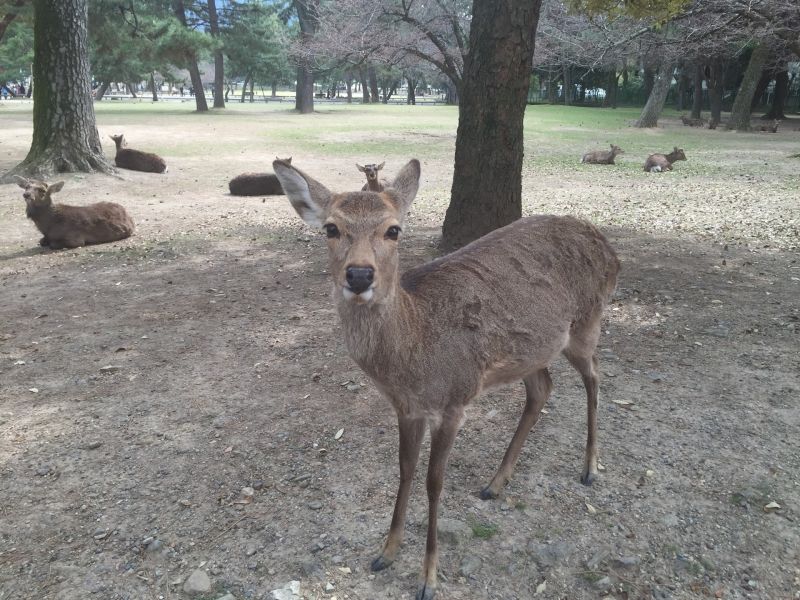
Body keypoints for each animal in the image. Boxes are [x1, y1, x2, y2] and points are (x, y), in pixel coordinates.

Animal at [272, 158, 620, 600]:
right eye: (331, 228)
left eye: (394, 229)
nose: (359, 275)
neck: (413, 355)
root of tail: (610, 248)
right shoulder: (406, 408)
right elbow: (404, 469)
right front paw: (386, 552)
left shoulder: (455, 399)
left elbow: (434, 482)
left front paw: (428, 578)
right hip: (531, 351)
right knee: (543, 388)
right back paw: (496, 483)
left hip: (586, 323)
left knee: (595, 376)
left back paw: (590, 468)